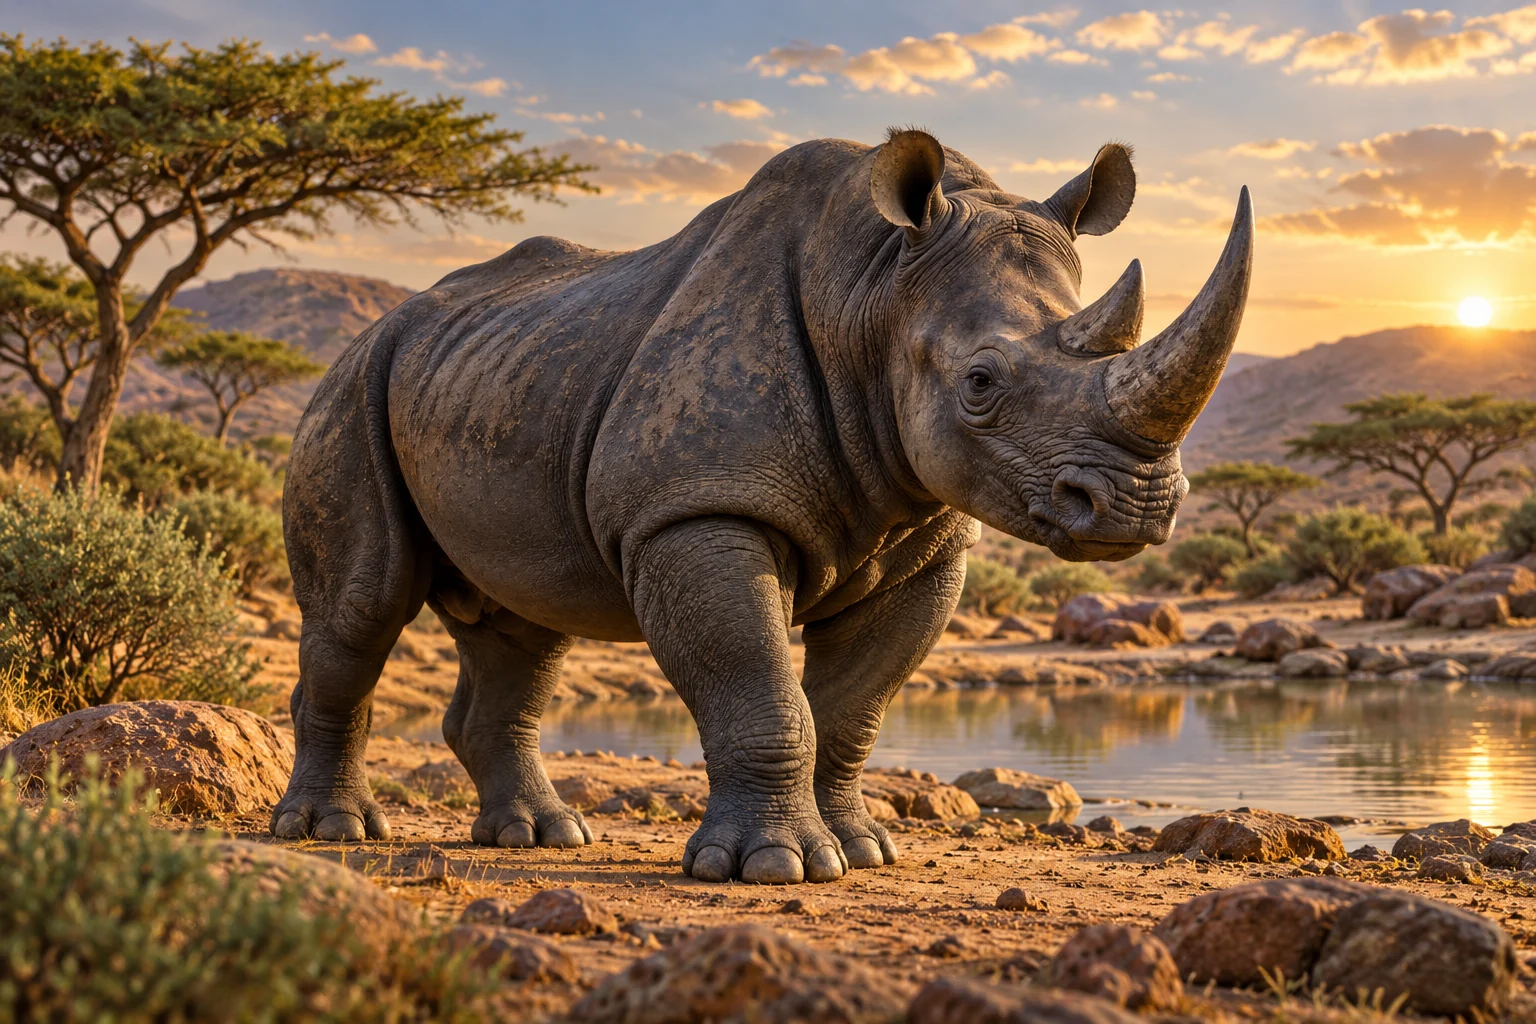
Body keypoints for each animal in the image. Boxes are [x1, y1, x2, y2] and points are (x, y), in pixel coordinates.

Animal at [272, 129, 1252, 884]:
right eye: (980, 383)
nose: (1137, 505)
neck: (873, 293)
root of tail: (384, 326)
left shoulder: (928, 541)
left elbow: (853, 707)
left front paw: (861, 850)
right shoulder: (697, 509)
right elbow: (757, 683)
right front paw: (775, 868)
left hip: (492, 376)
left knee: (523, 625)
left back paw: (540, 837)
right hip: (355, 384)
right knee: (362, 607)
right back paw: (329, 833)